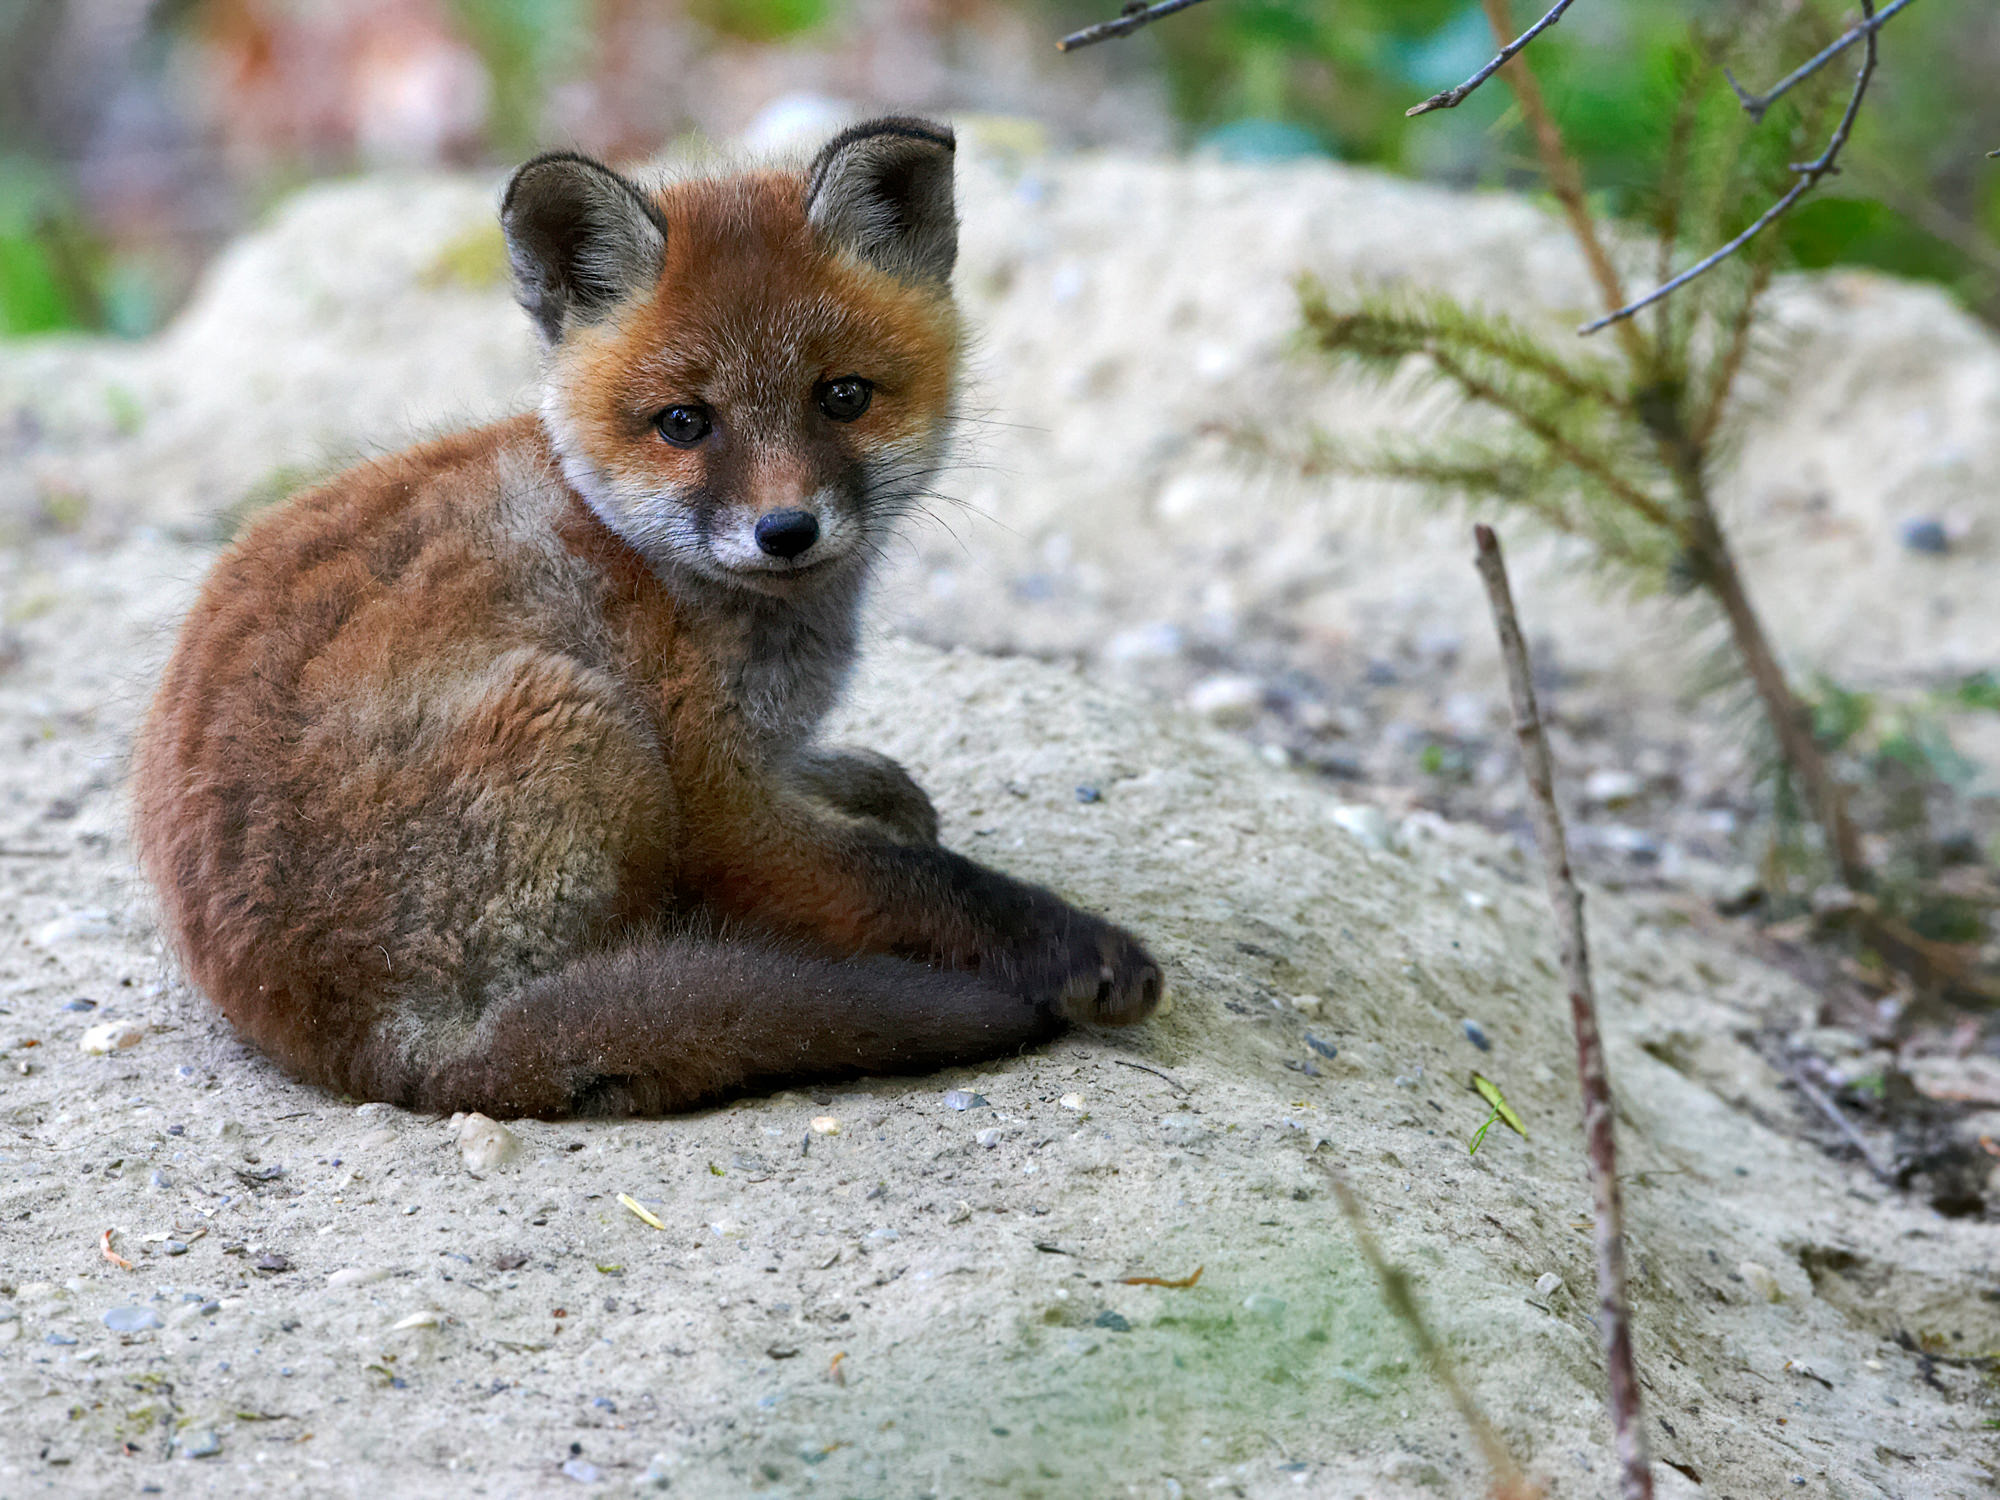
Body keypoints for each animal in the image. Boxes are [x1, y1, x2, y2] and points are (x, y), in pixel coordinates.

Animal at [130, 118, 1162, 1119]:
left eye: (843, 396)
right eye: (683, 422)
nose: (785, 530)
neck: (647, 561)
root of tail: (378, 1058)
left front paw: (864, 781)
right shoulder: (715, 807)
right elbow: (924, 886)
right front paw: (1076, 949)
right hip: (582, 720)